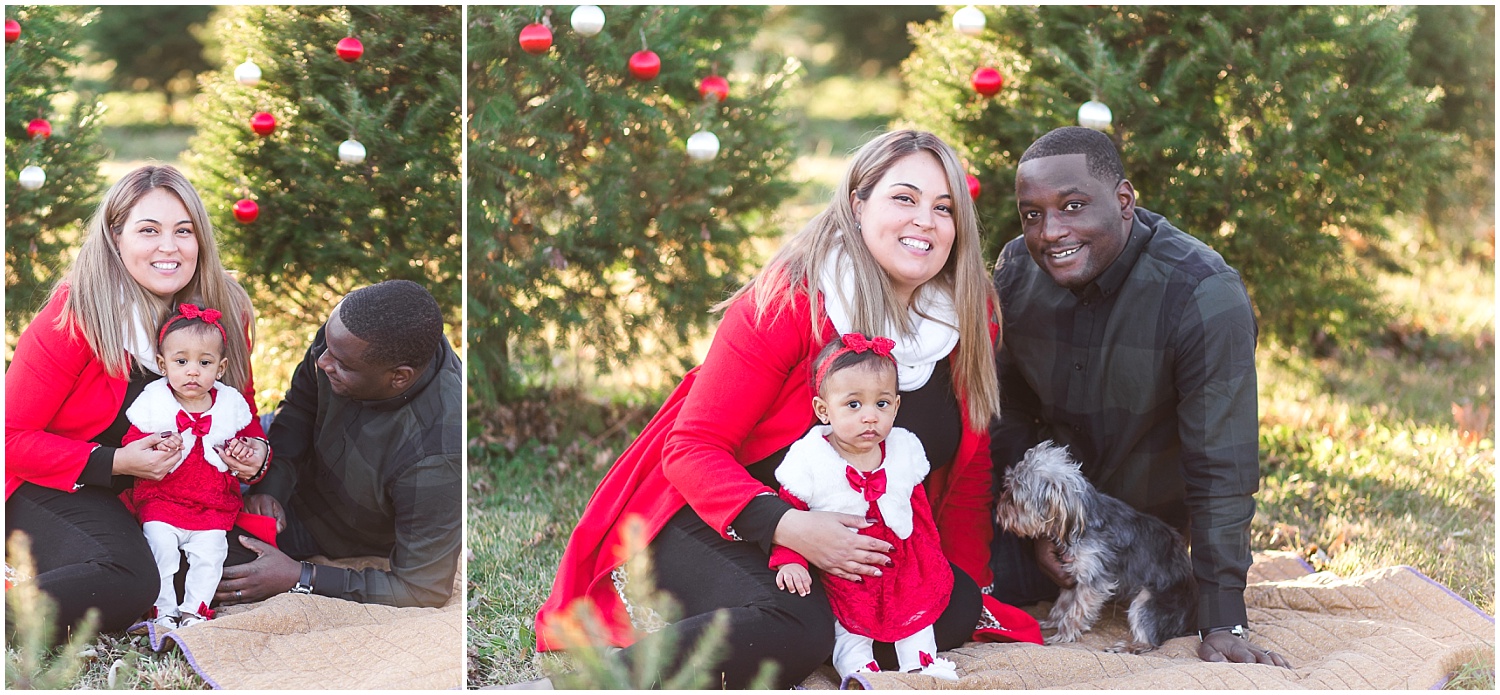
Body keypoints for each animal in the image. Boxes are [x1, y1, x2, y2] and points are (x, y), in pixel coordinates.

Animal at [996, 441, 1194, 654]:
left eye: (1013, 499)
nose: (999, 509)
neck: (1081, 518)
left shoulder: (1093, 579)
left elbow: (1075, 610)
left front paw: (1062, 635)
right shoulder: (1073, 573)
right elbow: (1063, 602)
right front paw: (1051, 622)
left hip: (1149, 600)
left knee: (1150, 642)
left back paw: (1126, 647)